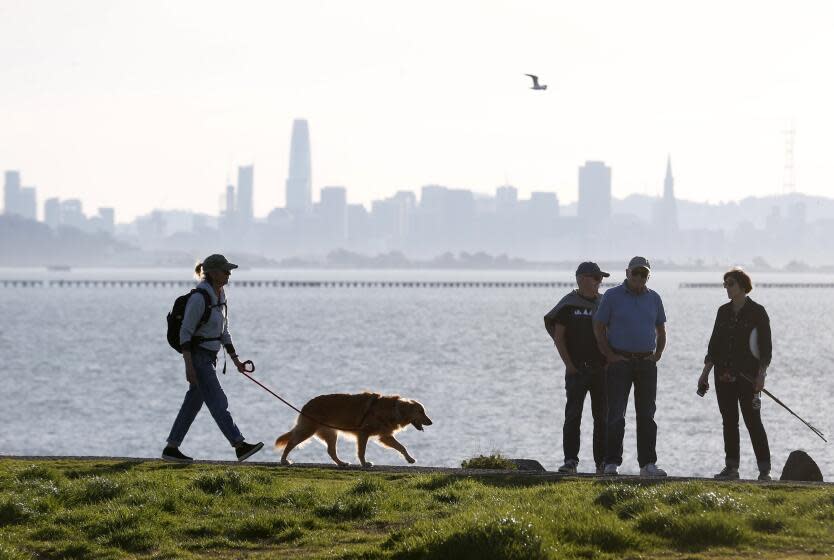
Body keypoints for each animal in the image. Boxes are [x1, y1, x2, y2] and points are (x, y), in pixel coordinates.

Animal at [274, 392, 432, 466]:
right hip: (308, 429)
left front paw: (410, 459)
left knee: (331, 451)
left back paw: (341, 463)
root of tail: (306, 405)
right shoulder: (363, 433)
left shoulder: (385, 436)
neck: (393, 409)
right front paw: (364, 464)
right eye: (421, 412)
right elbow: (361, 451)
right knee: (291, 443)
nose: (431, 422)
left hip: (331, 433)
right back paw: (284, 460)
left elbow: (401, 447)